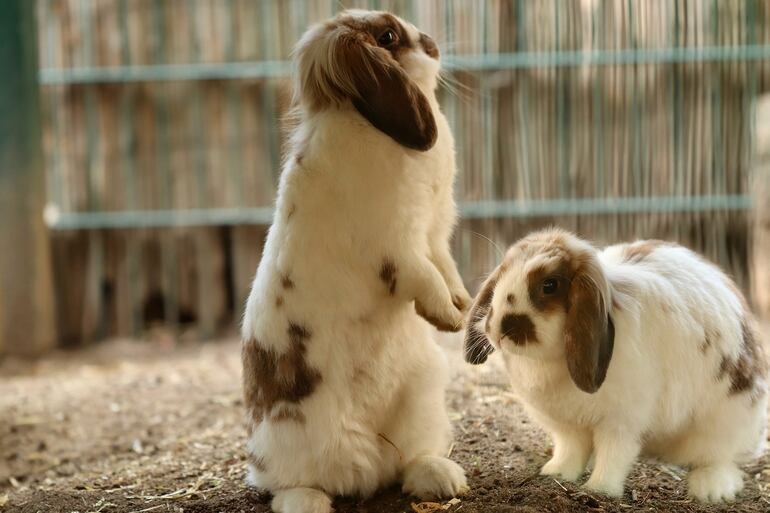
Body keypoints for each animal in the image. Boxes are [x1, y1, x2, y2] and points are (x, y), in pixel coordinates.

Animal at [241, 10, 471, 513]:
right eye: (387, 36)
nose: (432, 44)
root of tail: (365, 468)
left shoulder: (434, 233)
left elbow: (445, 267)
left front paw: (462, 306)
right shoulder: (398, 245)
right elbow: (424, 277)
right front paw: (447, 318)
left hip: (424, 399)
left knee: (406, 463)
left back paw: (442, 477)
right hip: (285, 441)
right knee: (281, 483)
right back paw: (308, 502)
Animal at [464, 227, 768, 502]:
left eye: (549, 285)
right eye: (503, 274)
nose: (500, 328)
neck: (550, 361)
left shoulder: (621, 422)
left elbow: (614, 455)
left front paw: (599, 490)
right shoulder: (567, 427)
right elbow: (570, 450)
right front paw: (555, 474)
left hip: (725, 421)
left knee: (719, 458)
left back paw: (711, 490)